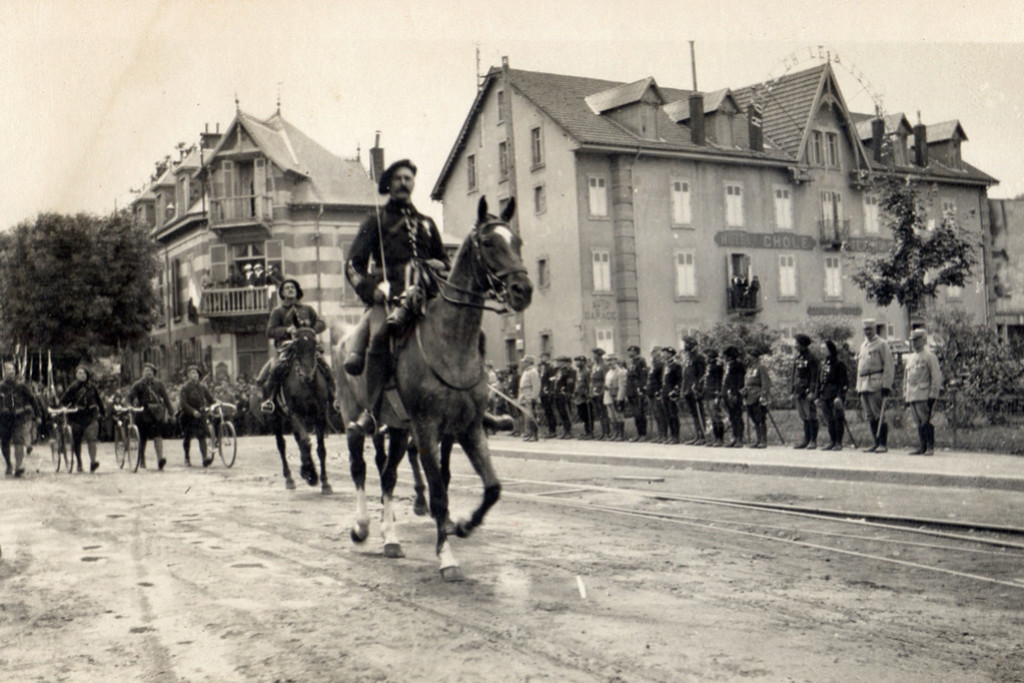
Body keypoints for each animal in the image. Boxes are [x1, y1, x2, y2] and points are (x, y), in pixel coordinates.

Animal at [262, 327, 333, 493]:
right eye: (295, 346)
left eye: (314, 345)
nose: (307, 376)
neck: (307, 386)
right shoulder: (294, 414)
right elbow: (305, 441)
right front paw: (310, 474)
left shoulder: (320, 416)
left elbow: (321, 449)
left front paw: (324, 482)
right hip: (276, 419)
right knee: (282, 445)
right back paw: (290, 478)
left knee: (298, 440)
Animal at [335, 194, 532, 581]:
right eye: (488, 242)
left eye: (517, 241)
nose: (523, 290)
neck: (450, 342)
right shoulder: (427, 429)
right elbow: (439, 491)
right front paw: (447, 557)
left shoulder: (468, 428)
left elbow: (492, 487)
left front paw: (464, 524)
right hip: (353, 417)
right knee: (359, 467)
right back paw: (362, 526)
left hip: (397, 429)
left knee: (388, 476)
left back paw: (390, 538)